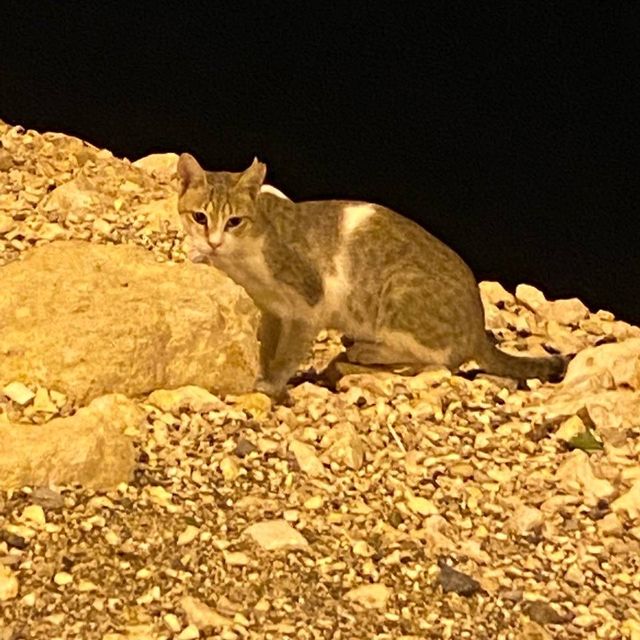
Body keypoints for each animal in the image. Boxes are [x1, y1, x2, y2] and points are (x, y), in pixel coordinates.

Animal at [175, 152, 564, 398]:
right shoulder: (272, 310)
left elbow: (286, 356)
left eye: (234, 221)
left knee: (438, 359)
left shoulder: (307, 305)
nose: (213, 243)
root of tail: (478, 329)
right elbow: (269, 348)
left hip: (398, 291)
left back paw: (366, 350)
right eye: (199, 217)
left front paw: (270, 385)